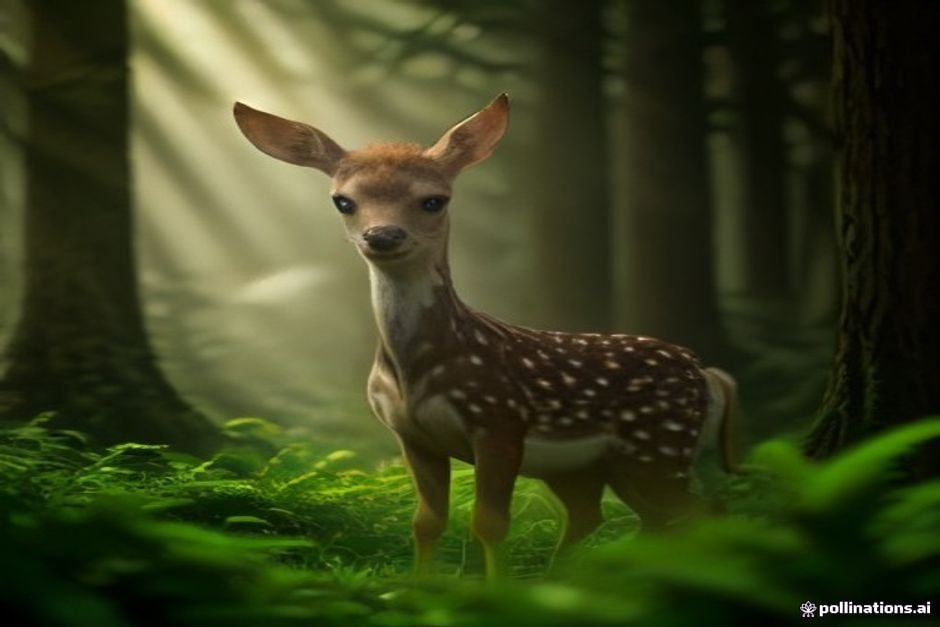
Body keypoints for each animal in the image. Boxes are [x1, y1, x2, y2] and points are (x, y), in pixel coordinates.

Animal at [233, 93, 738, 577]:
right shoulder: (411, 435)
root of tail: (707, 373)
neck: (418, 368)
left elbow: (489, 523)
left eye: (433, 200)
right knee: (614, 517)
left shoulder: (498, 421)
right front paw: (418, 589)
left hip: (659, 443)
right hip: (597, 464)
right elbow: (426, 522)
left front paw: (496, 591)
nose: (383, 235)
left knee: (702, 512)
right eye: (343, 200)